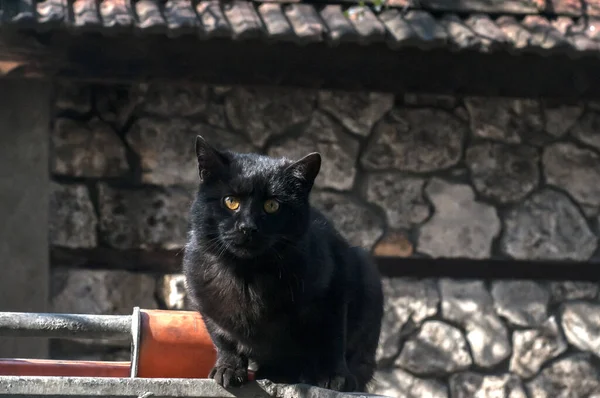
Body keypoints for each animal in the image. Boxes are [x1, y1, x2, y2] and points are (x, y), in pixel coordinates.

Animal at [180, 136, 382, 392]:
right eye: (230, 201)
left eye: (272, 205)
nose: (247, 227)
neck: (247, 275)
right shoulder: (205, 301)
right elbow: (223, 339)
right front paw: (229, 369)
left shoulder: (335, 288)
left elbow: (332, 338)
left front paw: (335, 377)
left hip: (366, 268)